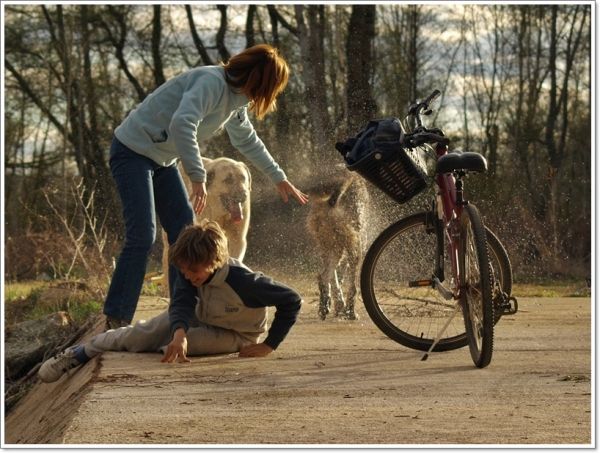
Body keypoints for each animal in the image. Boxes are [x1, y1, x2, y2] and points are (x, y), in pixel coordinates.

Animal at [308, 168, 368, 320]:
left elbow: (336, 282)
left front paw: (338, 307)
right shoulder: (355, 249)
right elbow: (349, 287)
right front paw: (346, 310)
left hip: (332, 248)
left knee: (323, 276)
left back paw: (324, 307)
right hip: (350, 250)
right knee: (351, 287)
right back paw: (350, 312)